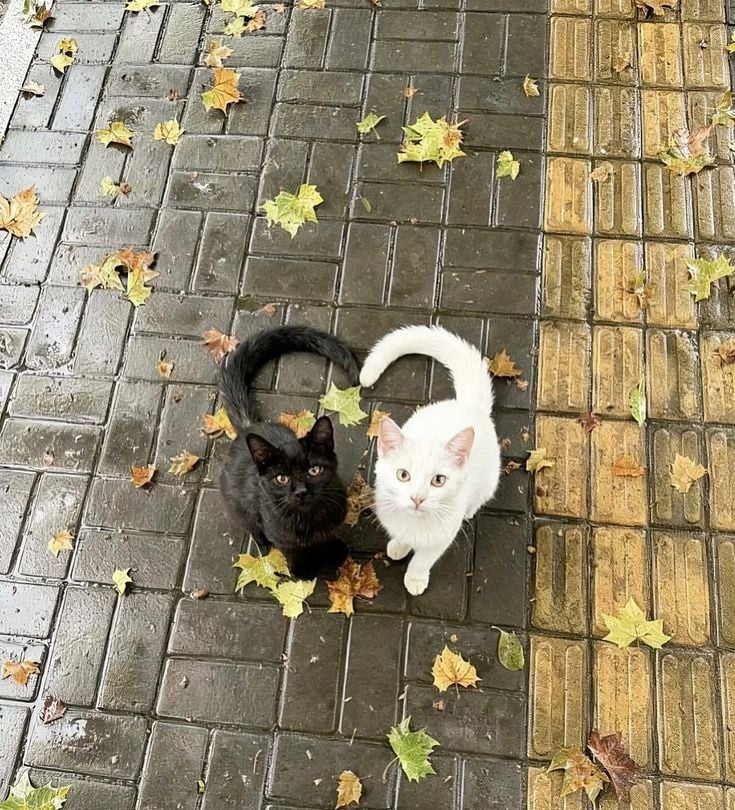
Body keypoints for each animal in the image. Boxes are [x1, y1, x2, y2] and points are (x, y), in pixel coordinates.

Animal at [219, 325, 360, 580]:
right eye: (282, 478)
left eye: (314, 470)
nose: (301, 492)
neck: (310, 520)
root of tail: (249, 427)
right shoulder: (280, 534)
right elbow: (293, 551)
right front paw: (302, 569)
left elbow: (329, 536)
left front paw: (335, 551)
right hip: (237, 505)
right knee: (250, 524)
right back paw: (262, 543)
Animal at [359, 325, 501, 595]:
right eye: (403, 475)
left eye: (438, 480)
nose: (417, 498)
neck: (415, 524)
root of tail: (467, 405)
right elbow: (401, 537)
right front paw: (399, 545)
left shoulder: (442, 537)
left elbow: (424, 559)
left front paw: (415, 578)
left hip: (489, 479)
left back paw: (471, 509)